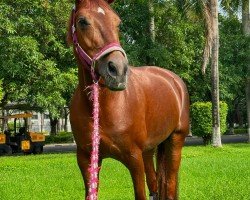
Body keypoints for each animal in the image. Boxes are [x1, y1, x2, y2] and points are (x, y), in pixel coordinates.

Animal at [67, 0, 188, 199]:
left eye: (117, 22)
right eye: (82, 21)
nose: (118, 70)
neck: (105, 108)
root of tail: (174, 80)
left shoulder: (134, 159)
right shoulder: (86, 160)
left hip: (175, 141)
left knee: (169, 186)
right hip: (149, 150)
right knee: (155, 185)